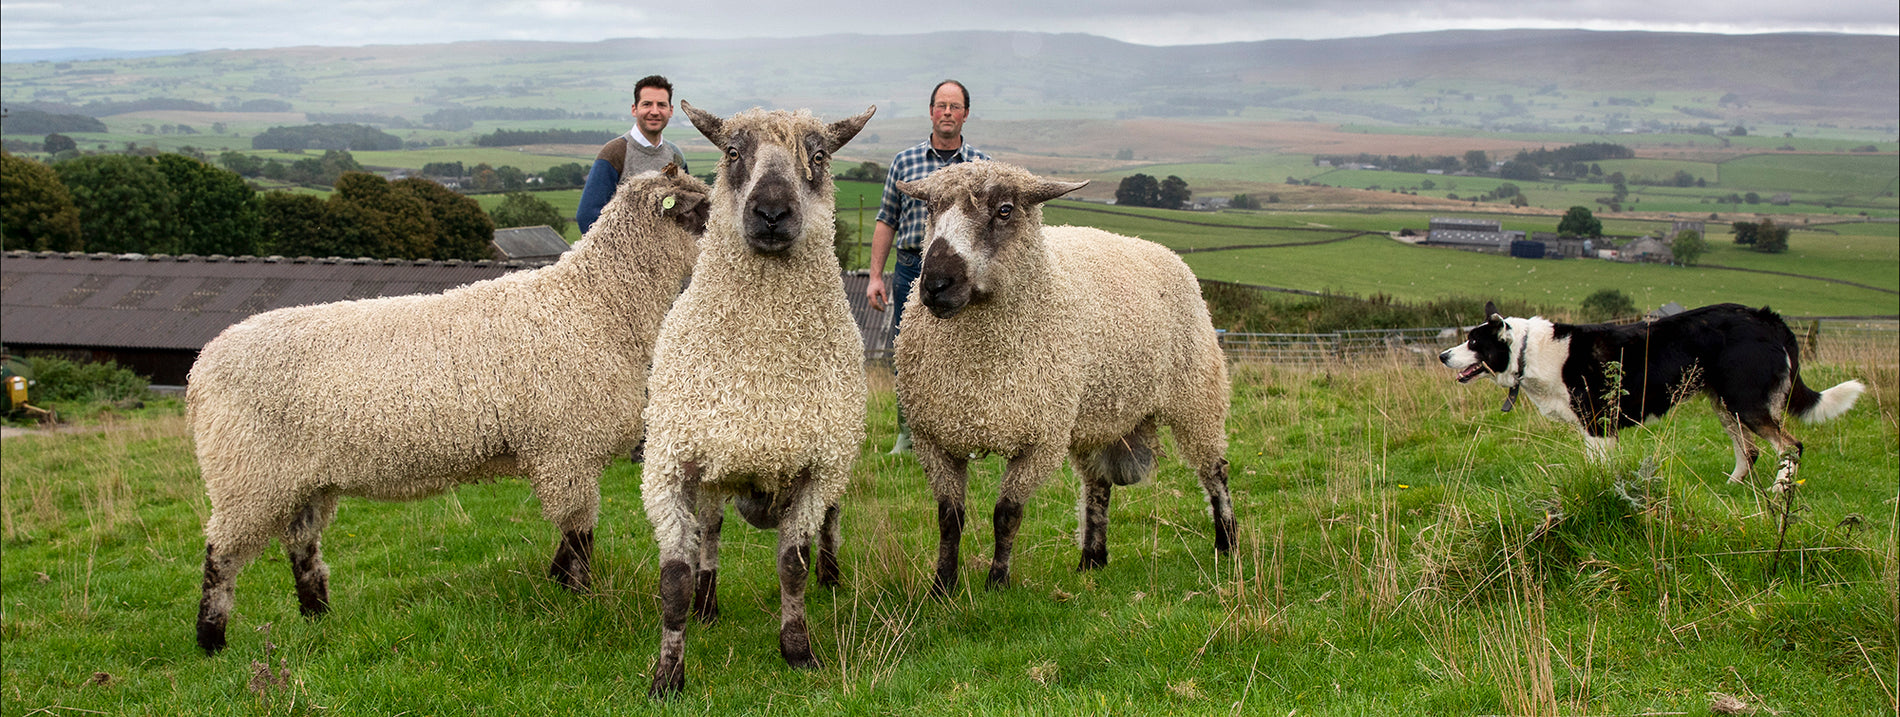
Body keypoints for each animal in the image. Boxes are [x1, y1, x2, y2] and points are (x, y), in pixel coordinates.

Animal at [187, 164, 714, 650]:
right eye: (701, 209)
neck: (596, 304)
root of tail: (202, 367)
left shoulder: (565, 454)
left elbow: (570, 537)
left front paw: (558, 583)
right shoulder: (565, 450)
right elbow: (579, 534)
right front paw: (580, 598)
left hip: (302, 479)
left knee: (302, 547)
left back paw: (319, 618)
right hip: (246, 471)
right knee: (221, 553)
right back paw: (212, 641)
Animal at [638, 103, 874, 696]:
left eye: (819, 157)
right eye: (731, 152)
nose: (770, 212)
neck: (761, 371)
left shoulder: (819, 469)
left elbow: (792, 564)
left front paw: (798, 650)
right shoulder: (670, 465)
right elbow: (674, 578)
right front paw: (667, 675)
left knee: (824, 530)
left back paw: (829, 575)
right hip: (713, 472)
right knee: (711, 534)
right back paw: (707, 604)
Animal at [893, 158, 1238, 593]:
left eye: (1005, 210)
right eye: (931, 209)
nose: (936, 285)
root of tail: (1156, 248)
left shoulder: (1041, 439)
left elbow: (1006, 514)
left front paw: (997, 583)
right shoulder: (933, 438)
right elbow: (949, 518)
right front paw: (942, 587)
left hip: (1197, 394)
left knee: (1214, 470)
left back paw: (1227, 542)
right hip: (1095, 414)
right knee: (1098, 486)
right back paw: (1092, 558)